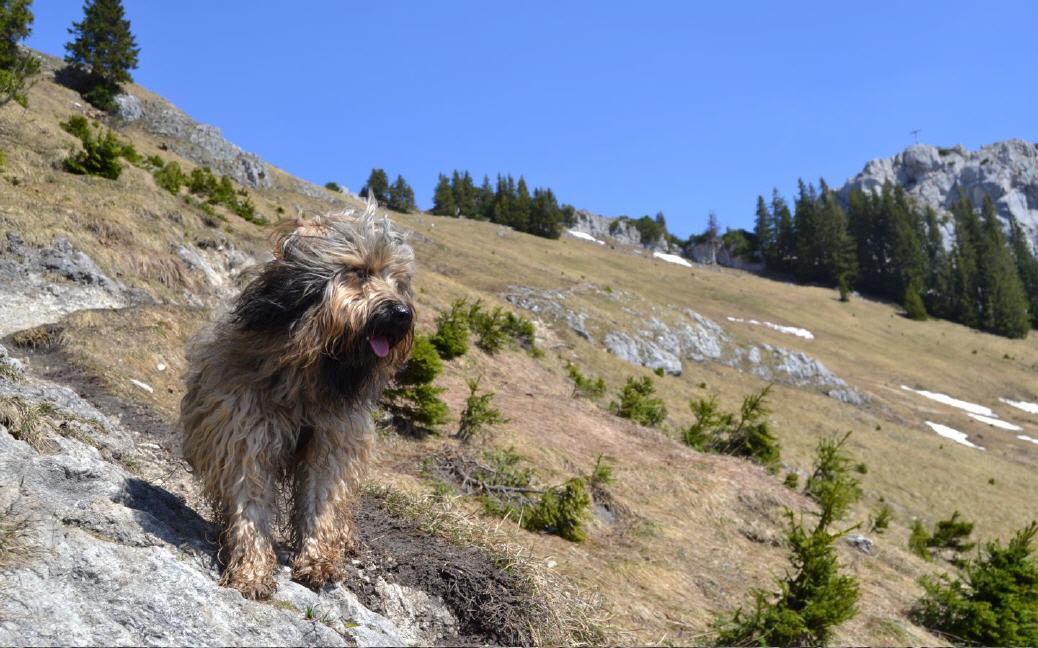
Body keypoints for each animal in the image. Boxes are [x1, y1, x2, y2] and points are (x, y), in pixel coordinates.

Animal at [180, 200, 415, 598]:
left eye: (398, 281)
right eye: (360, 272)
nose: (403, 314)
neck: (306, 376)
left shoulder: (331, 441)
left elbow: (322, 500)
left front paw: (318, 559)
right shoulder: (244, 433)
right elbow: (249, 501)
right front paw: (252, 569)